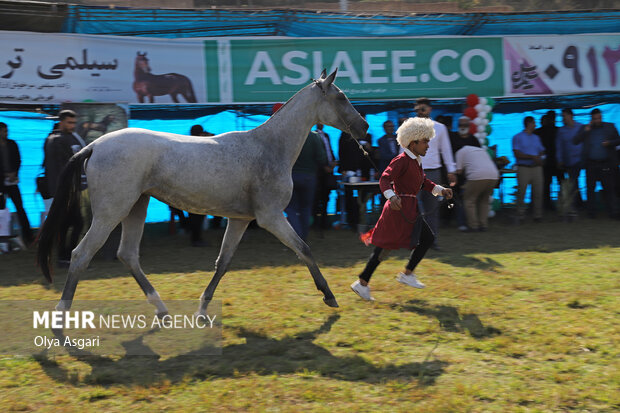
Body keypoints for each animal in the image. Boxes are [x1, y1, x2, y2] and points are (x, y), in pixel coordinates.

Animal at [37, 70, 368, 316]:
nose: (364, 127)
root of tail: (94, 145)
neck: (269, 148)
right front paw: (329, 296)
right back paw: (60, 323)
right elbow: (304, 249)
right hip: (111, 211)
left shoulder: (240, 220)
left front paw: (202, 310)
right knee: (81, 254)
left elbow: (223, 262)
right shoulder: (271, 217)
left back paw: (162, 311)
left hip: (136, 206)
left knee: (127, 254)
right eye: (341, 96)